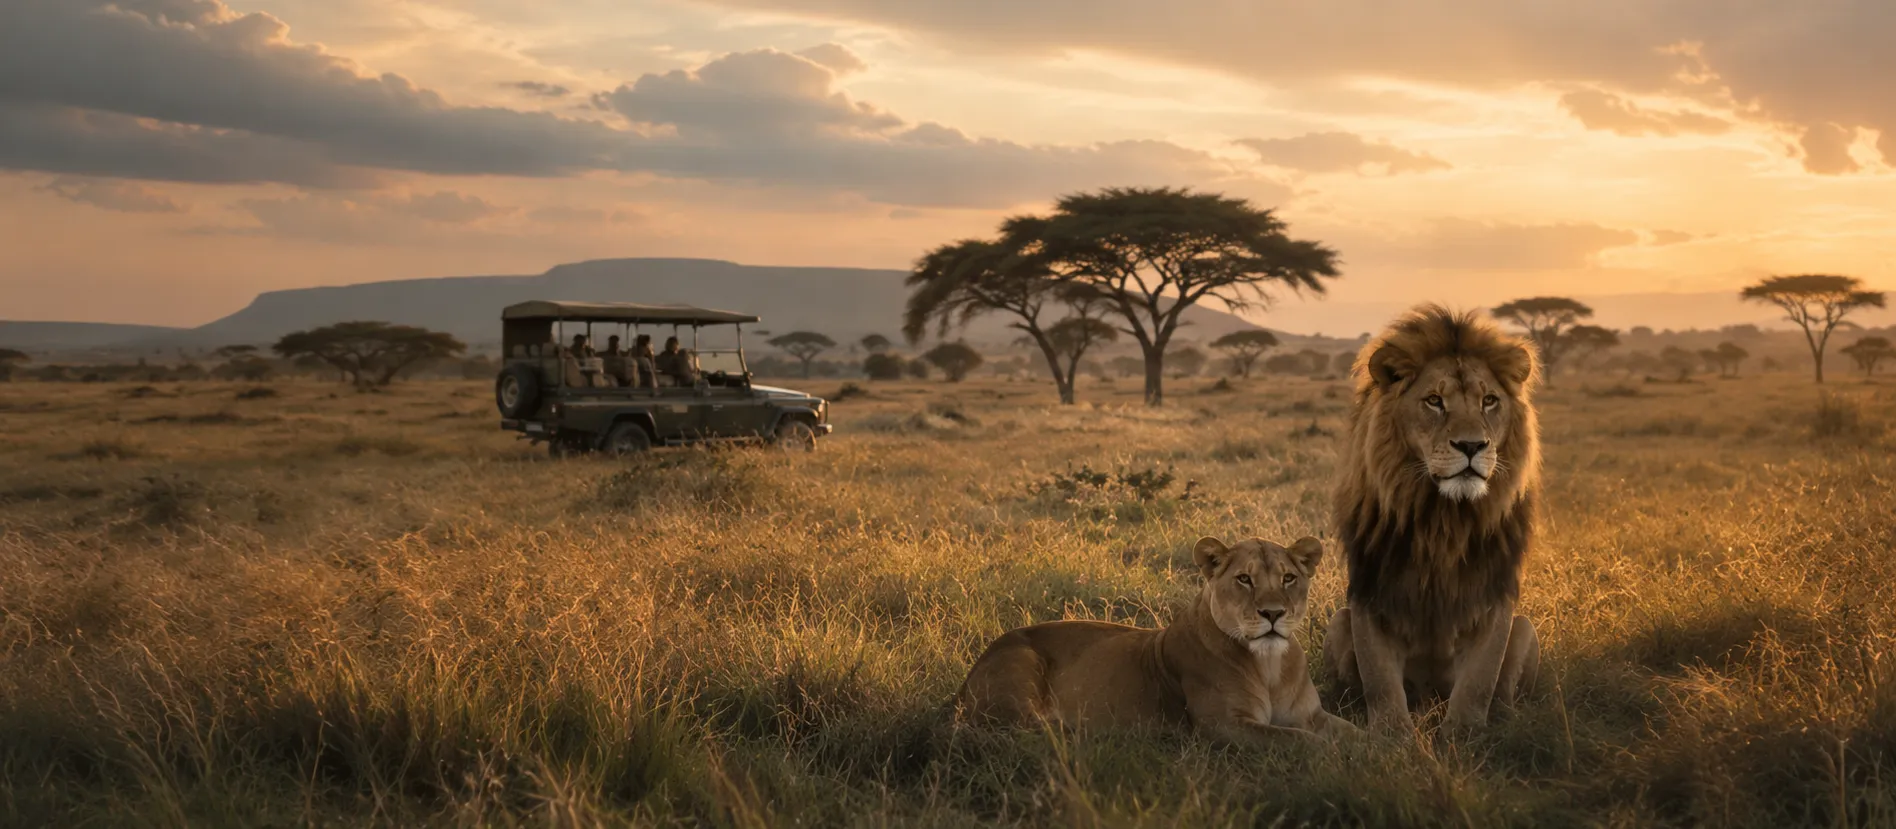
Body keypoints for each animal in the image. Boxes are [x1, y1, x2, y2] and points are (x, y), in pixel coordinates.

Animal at [954, 536, 1358, 746]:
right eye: (1244, 579)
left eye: (1289, 578)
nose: (1273, 614)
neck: (1270, 663)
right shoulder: (1222, 725)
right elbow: (1299, 740)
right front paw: (1333, 756)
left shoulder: (1311, 715)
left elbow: (1355, 732)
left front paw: (1372, 753)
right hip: (1022, 664)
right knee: (1029, 732)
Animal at [1323, 304, 1542, 735]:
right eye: (1434, 401)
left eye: (1489, 400)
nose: (1472, 445)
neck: (1443, 519)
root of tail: (1428, 701)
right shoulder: (1370, 590)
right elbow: (1380, 682)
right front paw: (1392, 739)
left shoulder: (1497, 592)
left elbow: (1479, 681)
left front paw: (1464, 735)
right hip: (1338, 624)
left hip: (1526, 629)